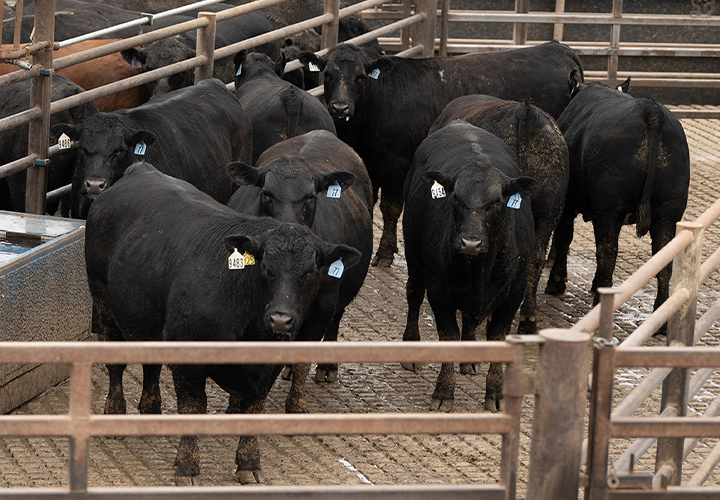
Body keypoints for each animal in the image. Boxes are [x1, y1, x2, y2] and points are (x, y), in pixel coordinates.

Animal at [85, 161, 361, 485]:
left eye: (310, 272)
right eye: (265, 268)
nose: (280, 319)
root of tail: (141, 168)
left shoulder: (270, 365)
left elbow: (254, 408)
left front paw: (249, 461)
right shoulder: (187, 352)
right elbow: (194, 407)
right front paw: (187, 466)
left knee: (150, 364)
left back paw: (151, 409)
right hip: (104, 303)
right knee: (115, 365)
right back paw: (115, 411)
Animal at [298, 41, 582, 268]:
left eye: (360, 76)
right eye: (328, 74)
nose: (340, 106)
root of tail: (558, 47)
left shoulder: (395, 167)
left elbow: (390, 209)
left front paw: (385, 252)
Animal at [402, 120, 537, 412]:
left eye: (496, 201)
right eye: (457, 199)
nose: (470, 243)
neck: (479, 271)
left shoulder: (515, 292)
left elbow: (497, 337)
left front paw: (496, 392)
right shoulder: (439, 290)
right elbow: (448, 336)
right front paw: (444, 392)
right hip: (414, 257)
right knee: (413, 294)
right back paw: (411, 345)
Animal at [546, 70, 690, 316]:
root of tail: (652, 112)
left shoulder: (568, 201)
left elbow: (564, 236)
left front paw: (556, 281)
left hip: (609, 208)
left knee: (607, 250)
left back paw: (599, 301)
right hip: (668, 212)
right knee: (663, 256)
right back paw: (661, 311)